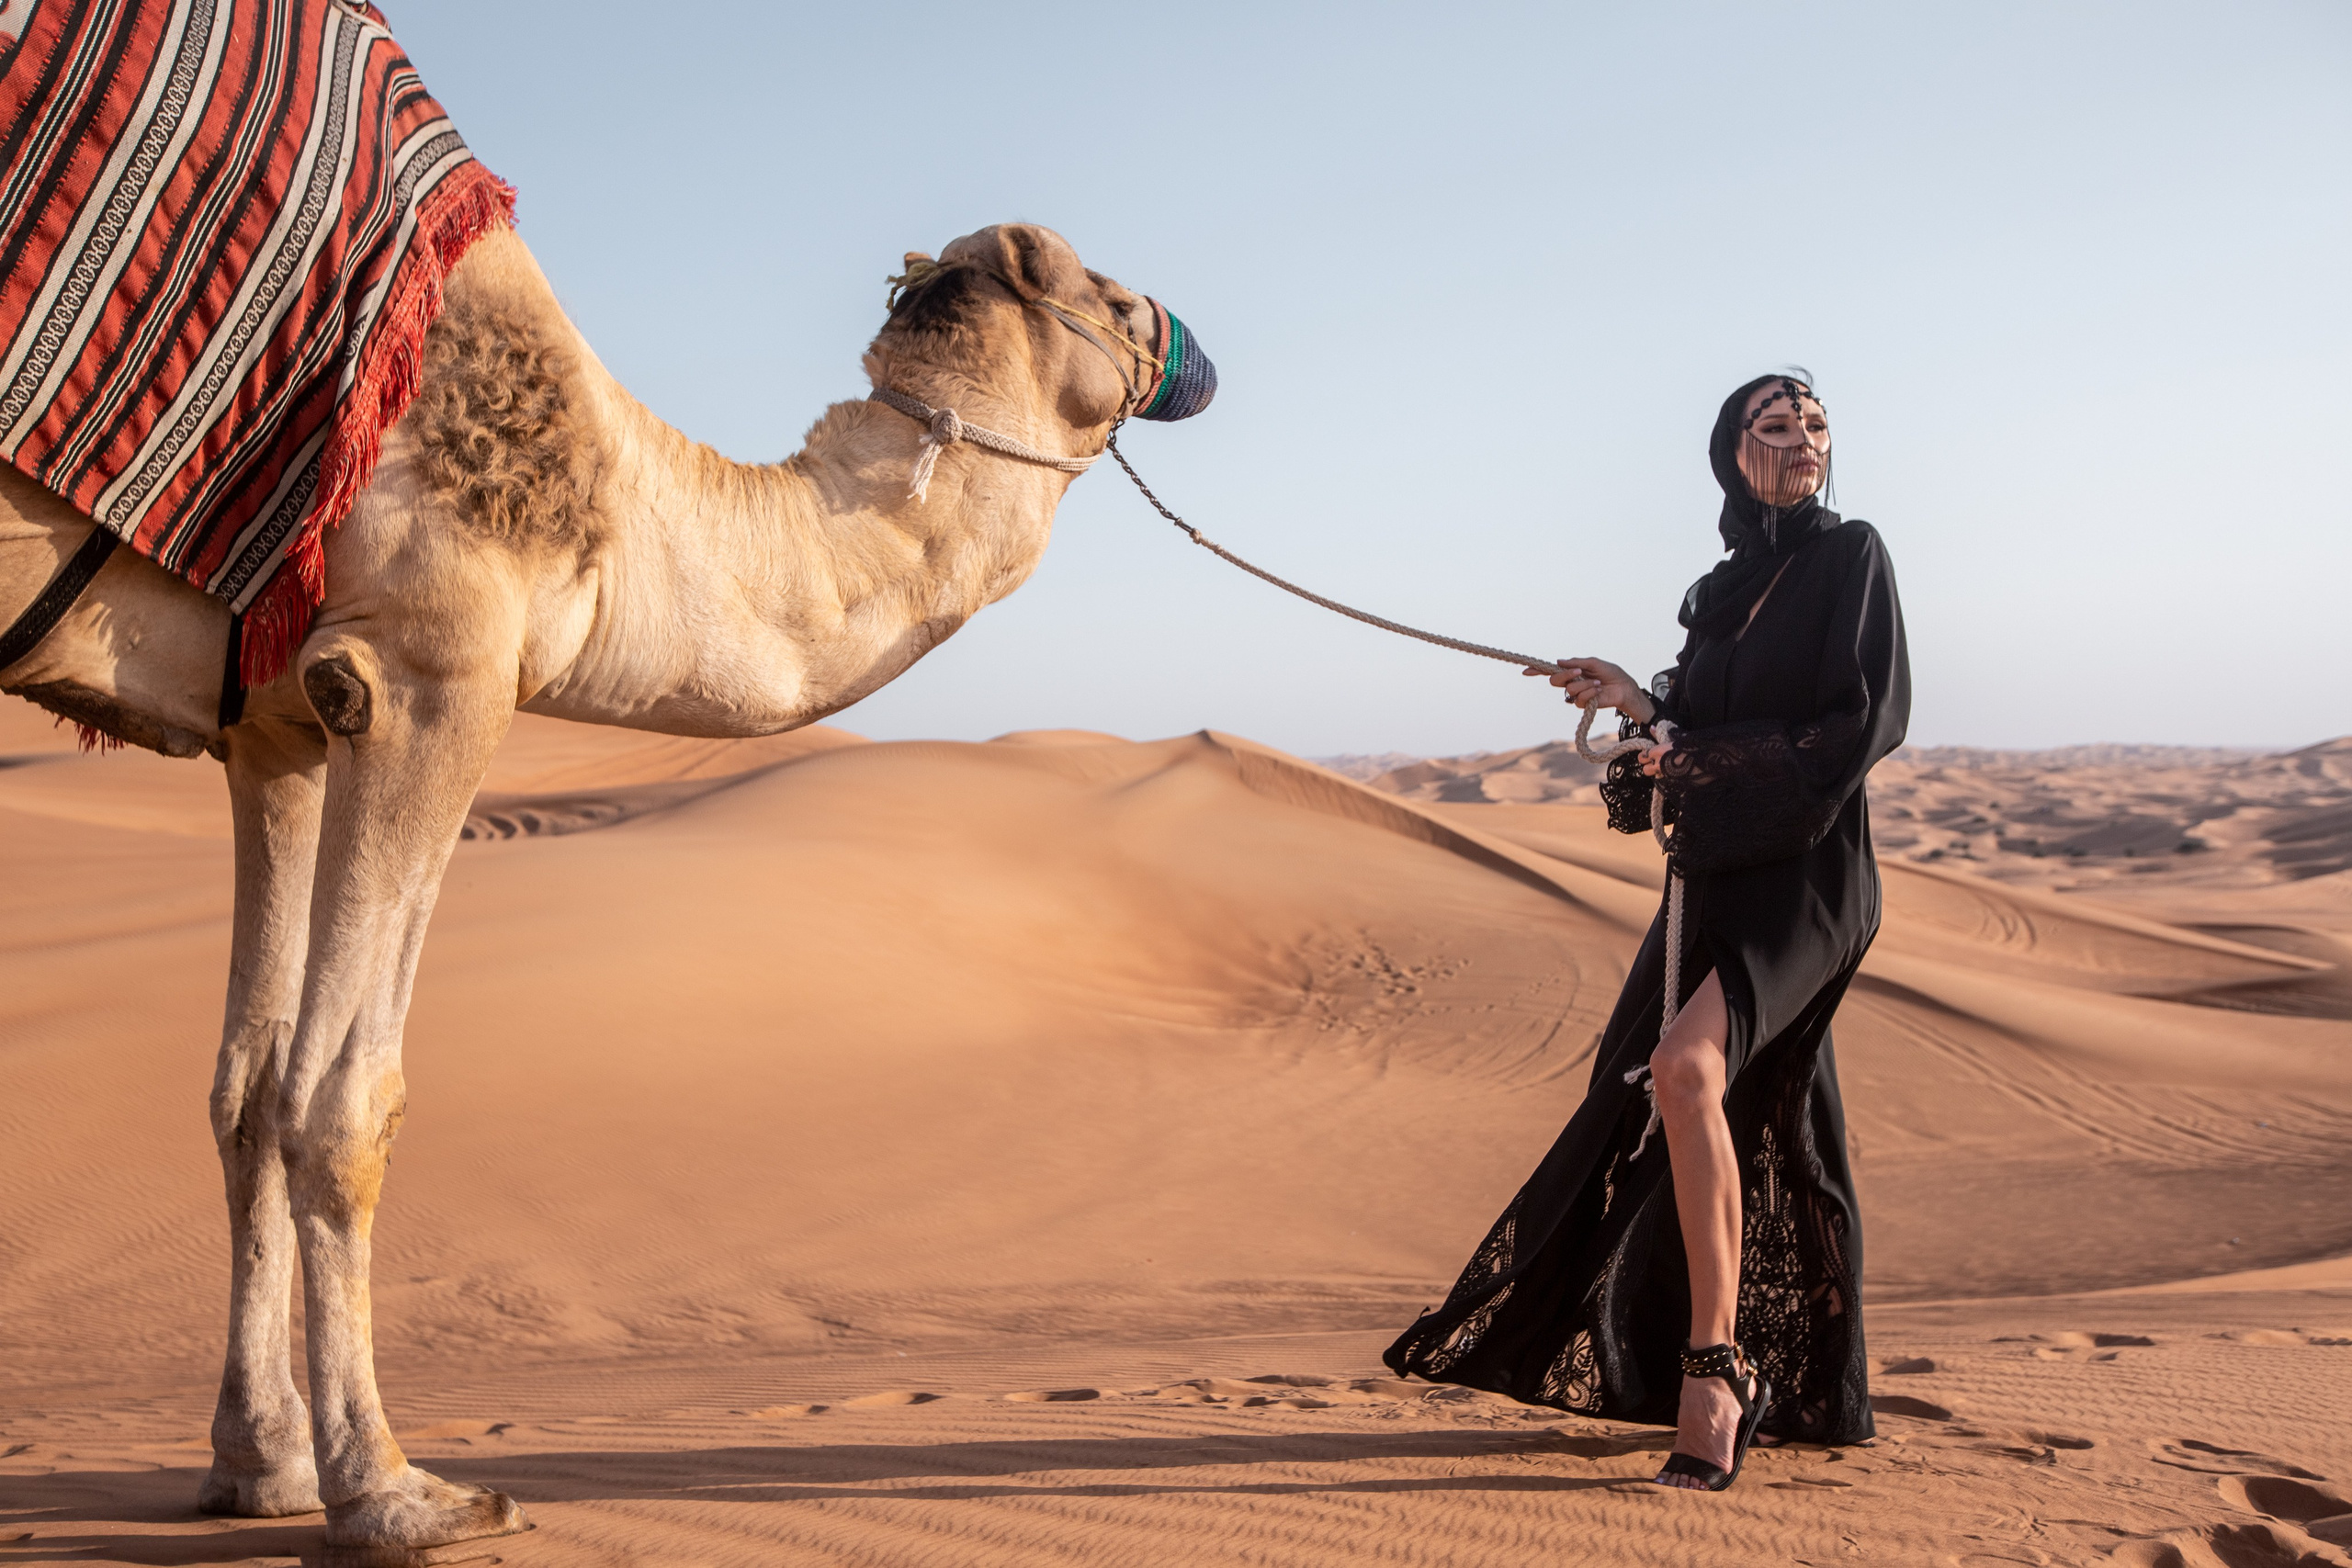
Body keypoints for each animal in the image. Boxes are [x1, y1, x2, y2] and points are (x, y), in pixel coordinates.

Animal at [0, 220, 1198, 1554]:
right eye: (1107, 296)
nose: (1181, 342)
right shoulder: (426, 665)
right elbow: (342, 1100)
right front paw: (391, 1491)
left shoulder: (275, 728)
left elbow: (248, 1094)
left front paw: (262, 1465)